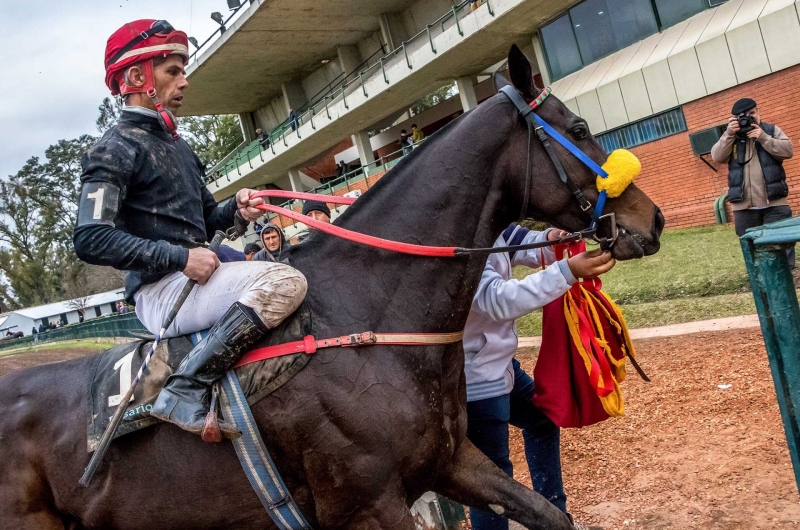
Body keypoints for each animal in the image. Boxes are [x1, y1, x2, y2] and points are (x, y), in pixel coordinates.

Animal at [0, 46, 664, 528]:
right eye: (579, 125)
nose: (651, 219)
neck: (367, 316)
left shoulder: (453, 460)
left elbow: (549, 514)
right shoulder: (369, 505)